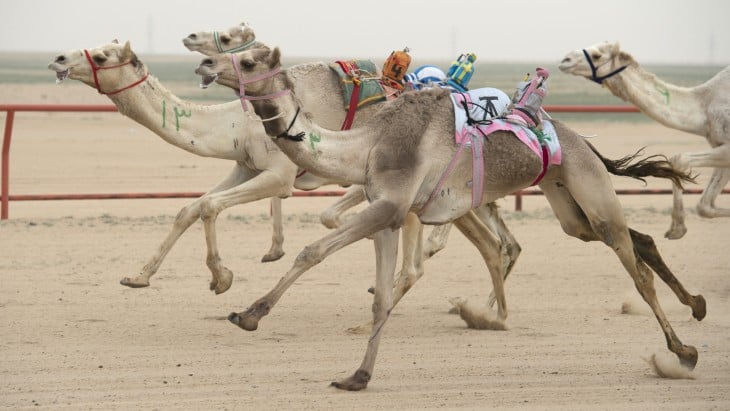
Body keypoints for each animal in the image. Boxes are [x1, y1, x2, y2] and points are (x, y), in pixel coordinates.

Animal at [556, 40, 728, 240]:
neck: (703, 107)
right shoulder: (721, 146)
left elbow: (680, 159)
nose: (565, 60)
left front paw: (677, 228)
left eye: (597, 55)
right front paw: (677, 229)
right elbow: (704, 206)